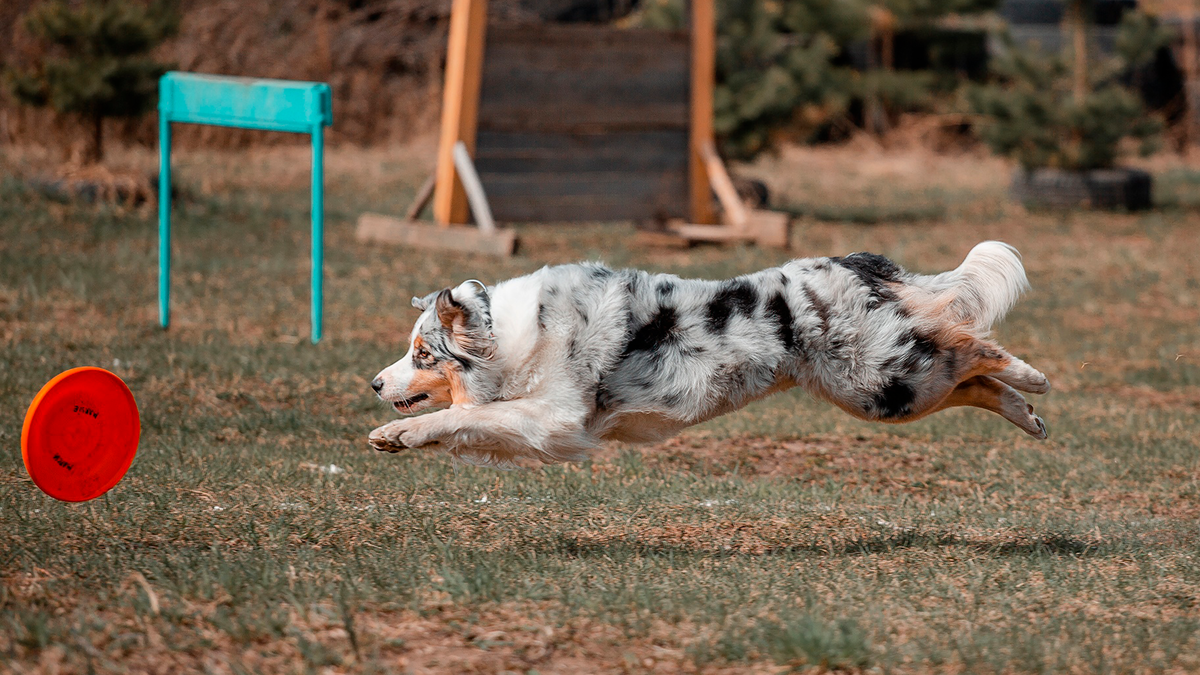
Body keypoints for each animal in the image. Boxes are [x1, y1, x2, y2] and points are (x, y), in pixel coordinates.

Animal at [367, 241, 1051, 468]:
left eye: (422, 354)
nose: (374, 383)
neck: (508, 334)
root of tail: (855, 261)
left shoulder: (558, 418)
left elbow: (462, 415)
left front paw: (396, 432)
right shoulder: (540, 427)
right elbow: (465, 422)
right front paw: (393, 435)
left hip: (879, 377)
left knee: (972, 345)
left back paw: (1034, 376)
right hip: (883, 391)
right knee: (971, 379)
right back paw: (1030, 415)